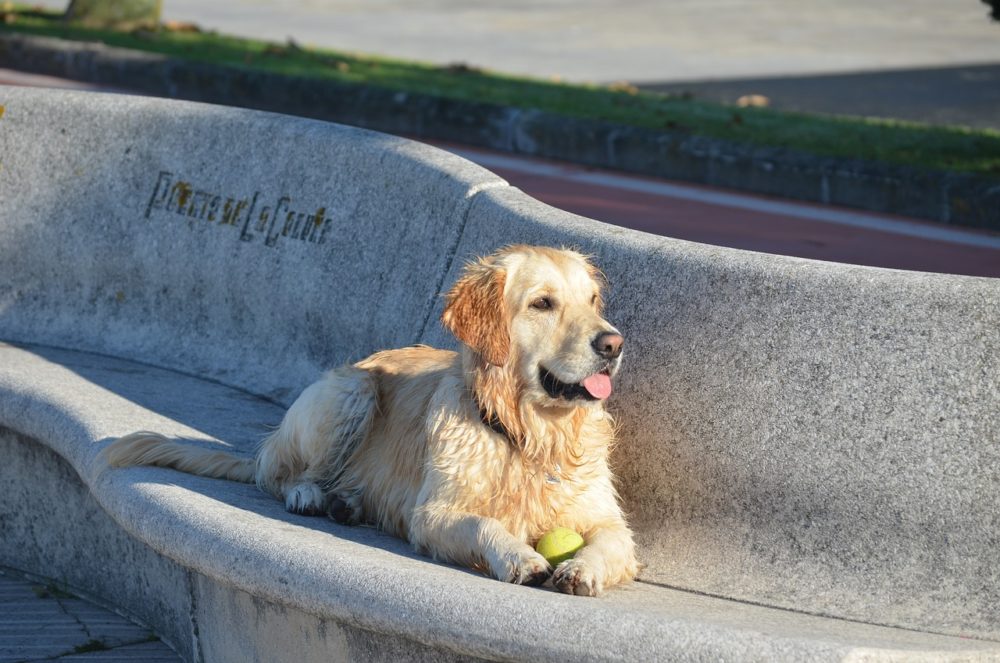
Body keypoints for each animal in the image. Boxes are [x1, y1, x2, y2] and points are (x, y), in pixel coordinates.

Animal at [105, 244, 640, 596]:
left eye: (592, 300)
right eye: (542, 303)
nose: (613, 343)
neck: (530, 435)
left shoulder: (608, 521)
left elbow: (610, 542)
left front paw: (582, 569)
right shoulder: (433, 515)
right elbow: (484, 525)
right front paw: (522, 557)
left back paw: (347, 503)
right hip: (351, 393)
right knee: (277, 475)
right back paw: (310, 495)